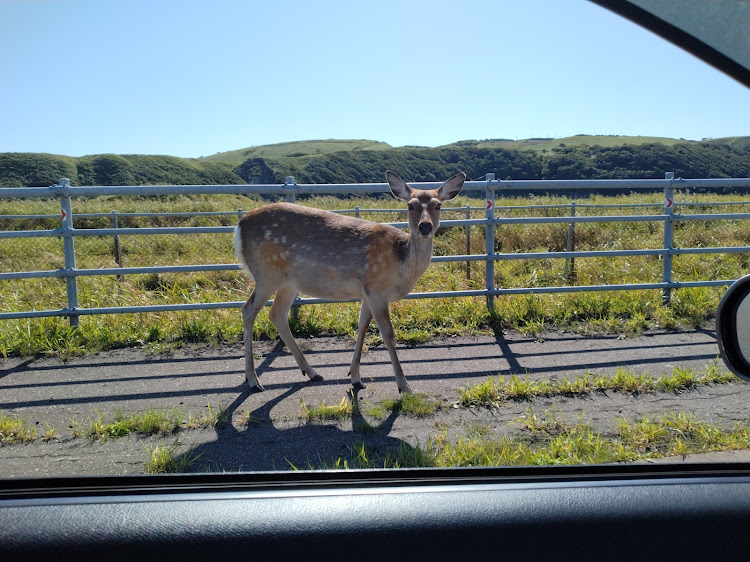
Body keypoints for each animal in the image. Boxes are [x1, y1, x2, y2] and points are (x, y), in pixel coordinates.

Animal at [235, 168, 468, 392]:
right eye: (410, 205)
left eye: (438, 205)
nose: (425, 226)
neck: (401, 266)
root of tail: (239, 227)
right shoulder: (377, 288)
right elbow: (388, 334)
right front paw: (404, 387)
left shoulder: (367, 291)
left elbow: (361, 327)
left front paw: (355, 377)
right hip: (266, 273)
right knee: (248, 310)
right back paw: (253, 380)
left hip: (288, 282)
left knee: (277, 315)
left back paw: (312, 372)